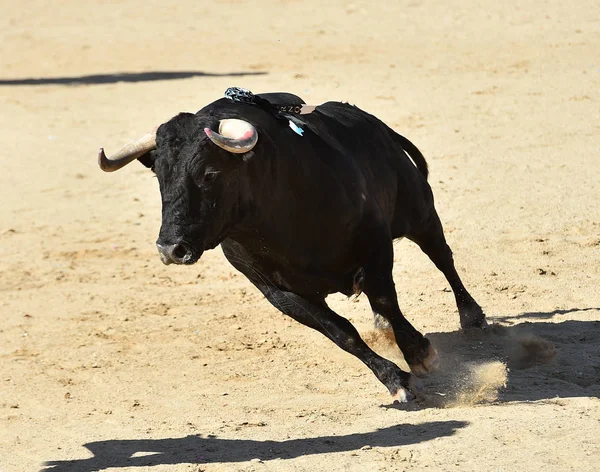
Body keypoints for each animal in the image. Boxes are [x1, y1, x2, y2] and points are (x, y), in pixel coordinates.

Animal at [99, 93, 488, 402]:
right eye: (159, 175)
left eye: (209, 173)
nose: (170, 249)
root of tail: (374, 124)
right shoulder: (278, 292)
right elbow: (342, 333)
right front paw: (395, 381)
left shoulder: (375, 246)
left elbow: (386, 300)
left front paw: (420, 354)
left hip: (418, 210)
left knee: (442, 258)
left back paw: (472, 316)